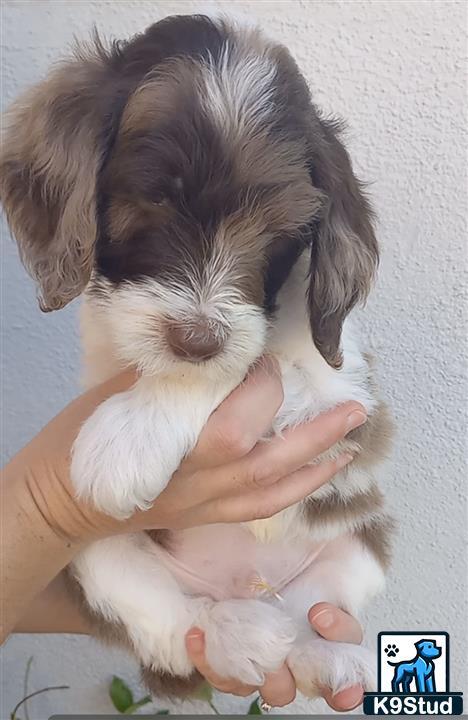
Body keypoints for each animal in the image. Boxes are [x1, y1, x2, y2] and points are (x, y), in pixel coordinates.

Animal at [1, 14, 394, 704]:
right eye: (152, 199)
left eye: (278, 230)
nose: (197, 339)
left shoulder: (345, 395)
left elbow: (251, 363)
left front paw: (128, 435)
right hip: (91, 552)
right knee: (179, 627)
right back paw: (240, 634)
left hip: (359, 544)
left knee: (314, 612)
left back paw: (328, 658)